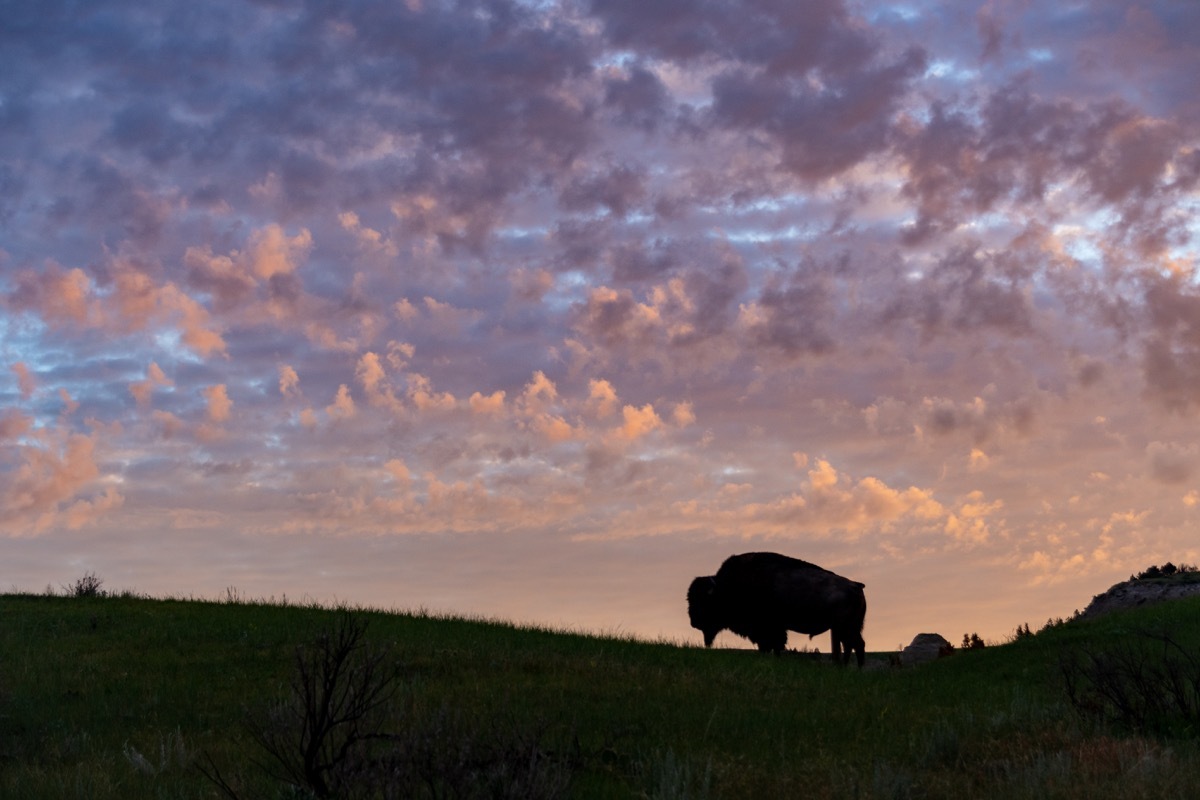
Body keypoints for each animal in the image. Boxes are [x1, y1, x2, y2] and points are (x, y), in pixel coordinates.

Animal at [691, 554, 868, 666]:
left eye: (704, 601)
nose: (694, 622)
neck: (727, 587)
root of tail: (855, 586)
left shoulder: (770, 628)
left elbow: (772, 644)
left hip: (845, 628)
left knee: (855, 645)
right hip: (846, 628)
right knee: (852, 645)